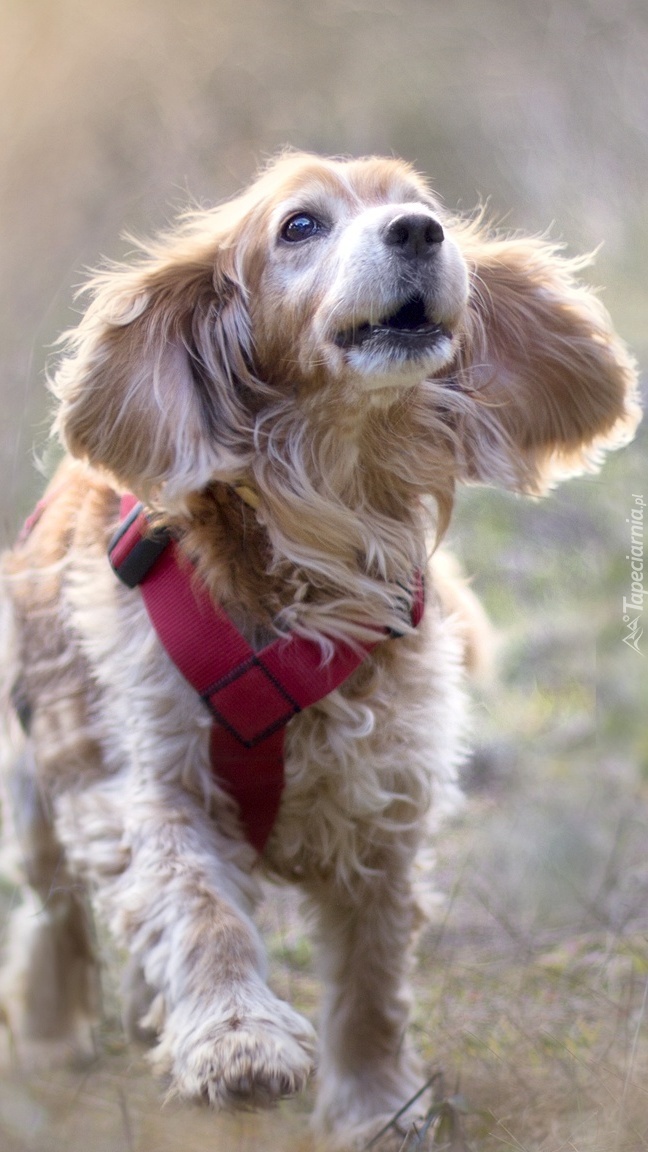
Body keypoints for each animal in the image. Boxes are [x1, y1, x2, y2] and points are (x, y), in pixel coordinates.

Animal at [0, 155, 636, 1152]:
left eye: (424, 205)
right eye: (300, 226)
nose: (419, 232)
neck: (329, 514)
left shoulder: (387, 802)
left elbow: (372, 981)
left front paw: (378, 1107)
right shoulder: (153, 780)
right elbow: (198, 910)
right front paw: (237, 1042)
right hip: (39, 778)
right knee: (52, 910)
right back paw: (53, 1034)